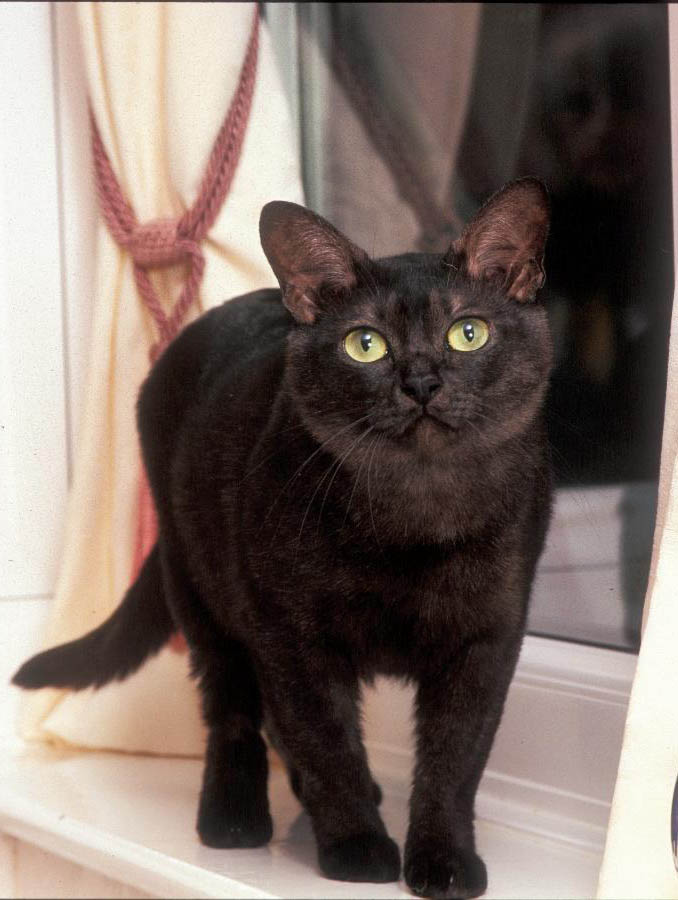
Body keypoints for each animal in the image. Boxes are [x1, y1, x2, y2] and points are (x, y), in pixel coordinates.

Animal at [15, 178, 556, 900]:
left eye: (469, 333)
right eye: (365, 345)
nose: (420, 382)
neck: (412, 517)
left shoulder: (485, 641)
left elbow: (454, 760)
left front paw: (443, 861)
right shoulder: (293, 635)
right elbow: (326, 741)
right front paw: (356, 849)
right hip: (201, 592)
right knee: (233, 713)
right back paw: (232, 820)